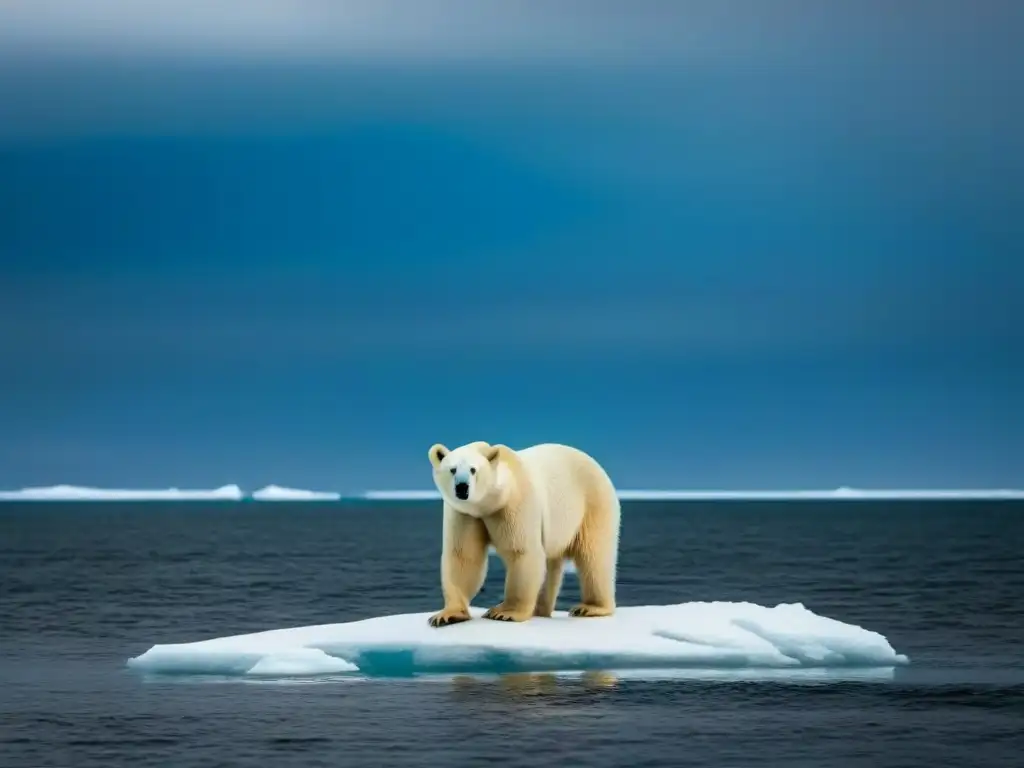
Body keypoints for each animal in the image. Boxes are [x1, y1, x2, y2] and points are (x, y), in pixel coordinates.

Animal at [421, 442, 614, 626]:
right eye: (452, 469)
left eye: (473, 469)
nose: (462, 487)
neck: (490, 503)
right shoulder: (466, 514)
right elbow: (463, 556)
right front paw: (448, 615)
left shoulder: (515, 505)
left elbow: (522, 552)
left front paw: (505, 613)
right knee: (552, 564)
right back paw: (540, 610)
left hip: (592, 504)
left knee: (593, 557)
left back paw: (590, 607)